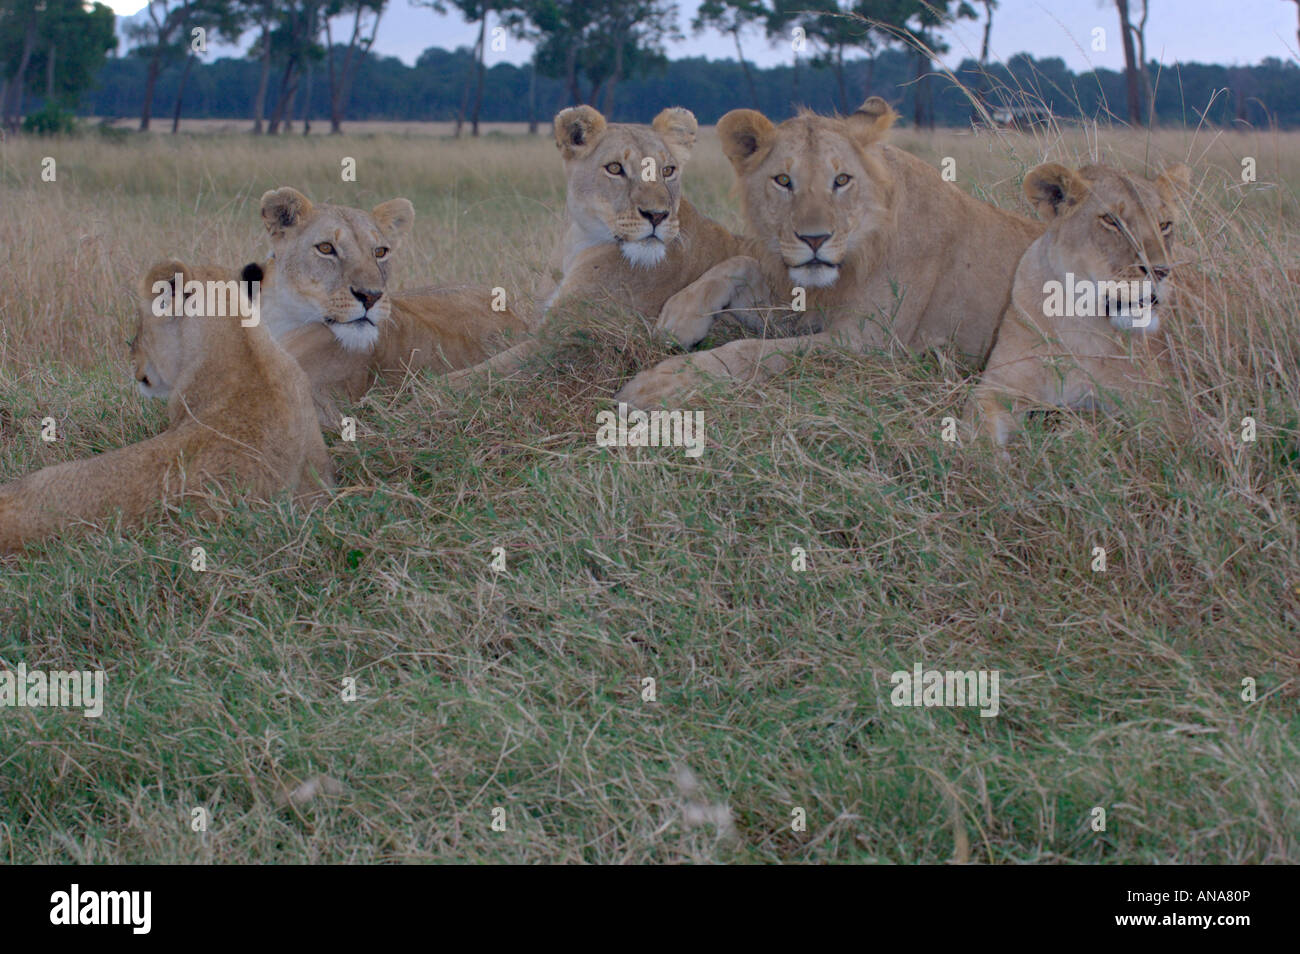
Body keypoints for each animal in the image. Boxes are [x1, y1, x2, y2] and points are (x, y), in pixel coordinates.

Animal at [443, 105, 744, 386]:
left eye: (668, 171)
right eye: (615, 168)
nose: (657, 215)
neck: (577, 243)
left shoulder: (562, 342)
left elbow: (472, 377)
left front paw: (433, 389)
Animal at [616, 97, 1045, 408]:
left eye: (841, 180)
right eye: (783, 180)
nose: (815, 239)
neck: (855, 257)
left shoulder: (868, 342)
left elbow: (754, 351)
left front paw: (666, 381)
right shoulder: (805, 305)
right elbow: (741, 263)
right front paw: (679, 317)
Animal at [968, 161, 1191, 447]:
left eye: (1165, 225)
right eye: (1111, 221)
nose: (1161, 271)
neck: (1081, 320)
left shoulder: (1167, 410)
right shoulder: (998, 387)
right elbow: (978, 431)